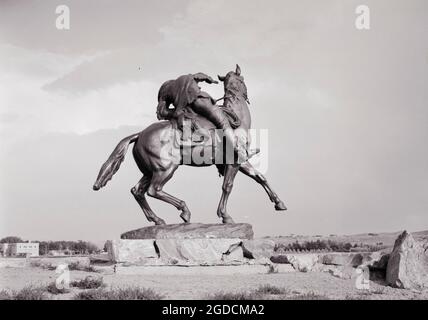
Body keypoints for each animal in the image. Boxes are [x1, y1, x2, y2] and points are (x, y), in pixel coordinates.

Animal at [93, 65, 288, 225]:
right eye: (243, 80)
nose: (247, 95)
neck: (237, 122)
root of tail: (140, 134)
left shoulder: (242, 162)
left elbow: (260, 177)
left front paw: (279, 203)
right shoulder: (235, 162)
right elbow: (227, 186)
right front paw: (225, 216)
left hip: (150, 171)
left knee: (138, 191)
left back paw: (158, 220)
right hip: (165, 169)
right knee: (154, 190)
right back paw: (184, 211)